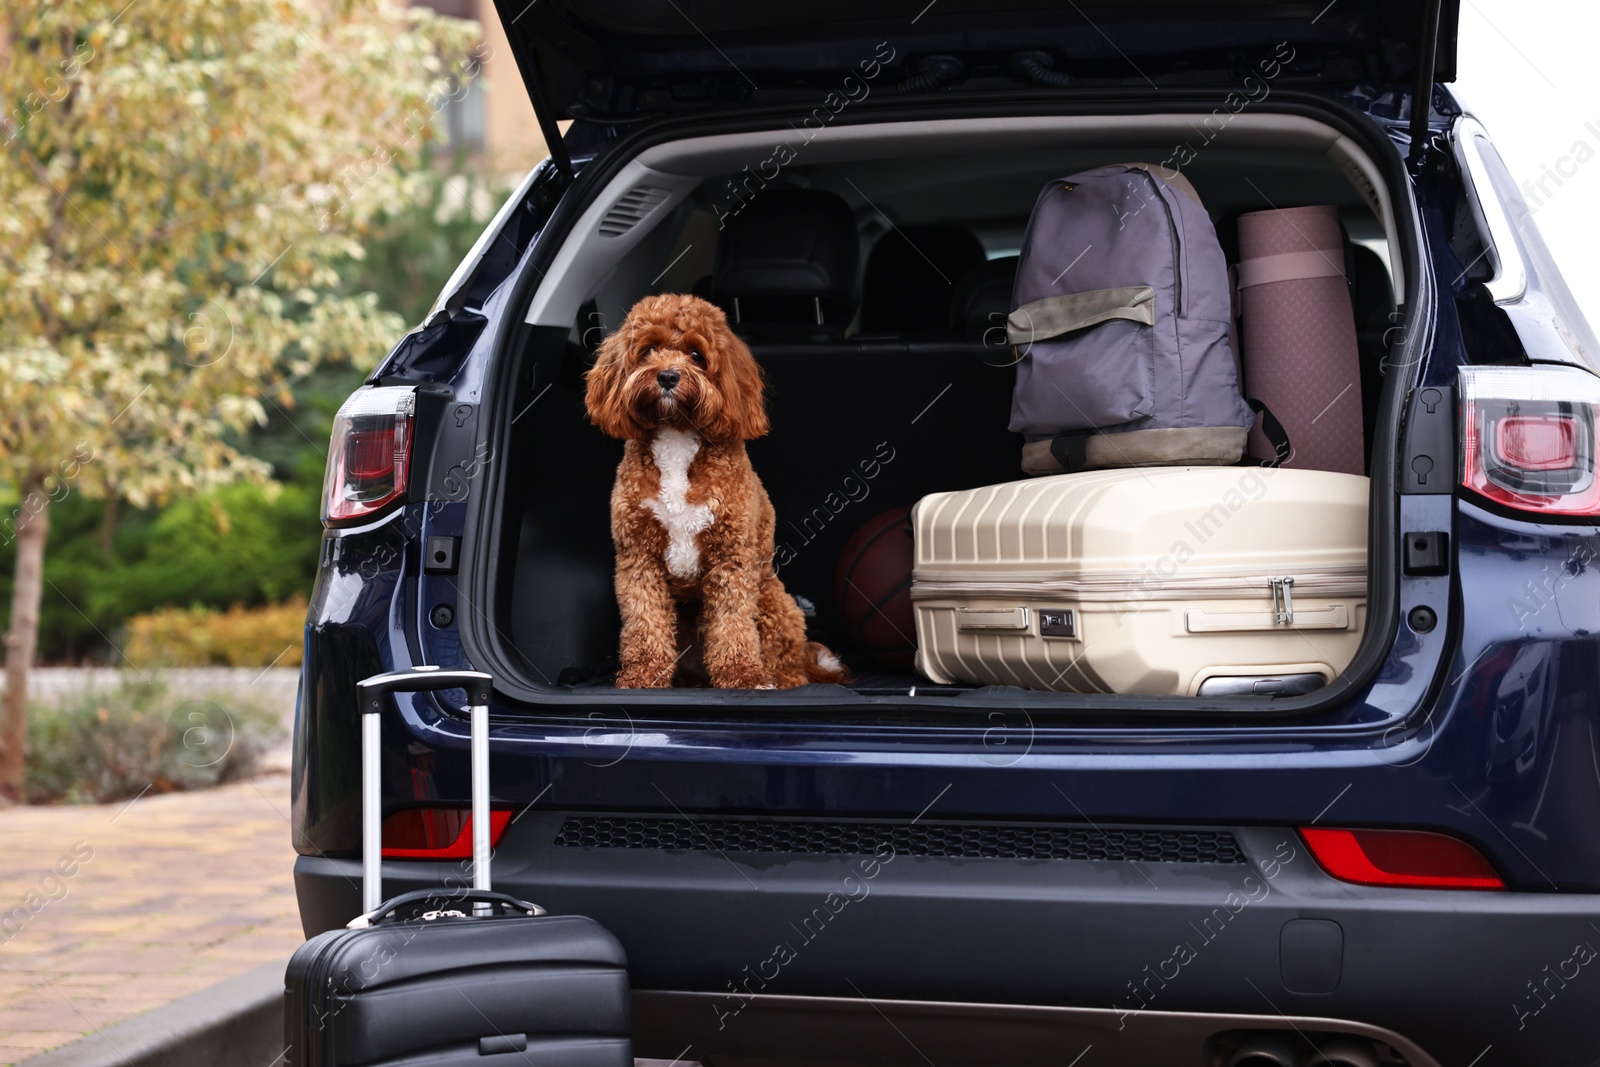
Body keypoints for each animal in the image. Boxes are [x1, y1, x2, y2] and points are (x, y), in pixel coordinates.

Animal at [579, 294, 851, 694]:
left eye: (696, 354)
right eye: (649, 350)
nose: (667, 376)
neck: (677, 434)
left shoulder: (730, 557)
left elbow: (732, 624)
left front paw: (743, 676)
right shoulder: (638, 556)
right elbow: (645, 622)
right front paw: (643, 676)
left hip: (775, 604)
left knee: (786, 663)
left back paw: (778, 679)